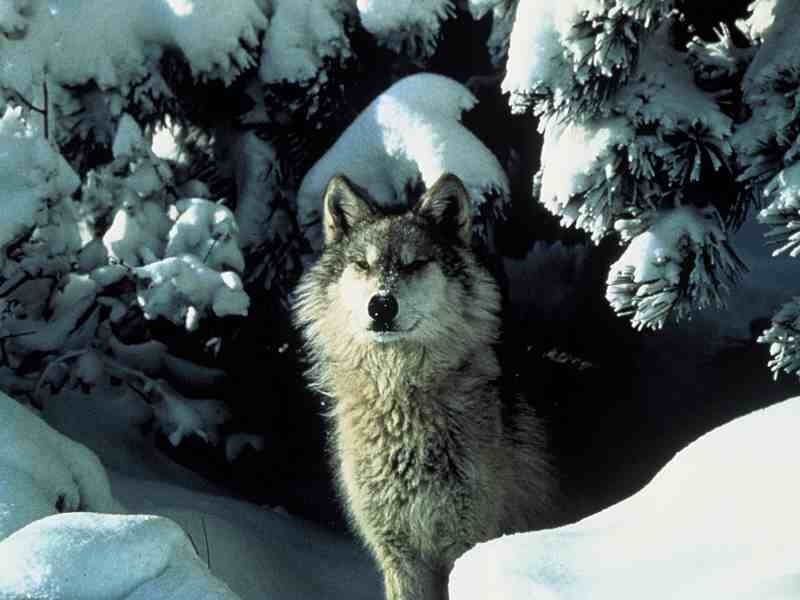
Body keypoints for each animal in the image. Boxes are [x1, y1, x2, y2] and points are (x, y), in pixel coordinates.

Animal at [293, 173, 555, 600]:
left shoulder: (467, 542)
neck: (400, 401)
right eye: (362, 264)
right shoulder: (398, 554)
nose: (381, 305)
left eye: (414, 263)